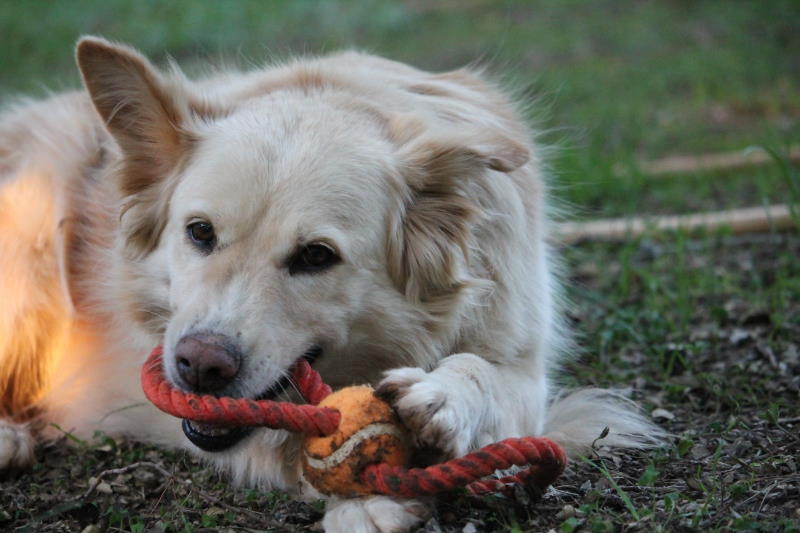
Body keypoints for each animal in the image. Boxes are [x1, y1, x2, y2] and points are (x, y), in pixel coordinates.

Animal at [0, 36, 664, 528]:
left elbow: (484, 374)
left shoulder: (525, 366)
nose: (199, 365)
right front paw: (367, 501)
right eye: (200, 232)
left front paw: (444, 396)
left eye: (316, 256)